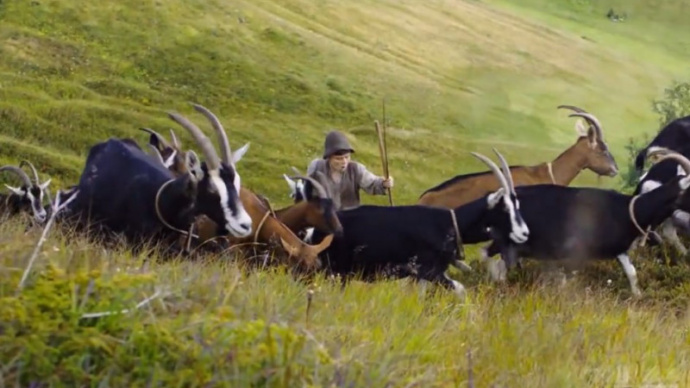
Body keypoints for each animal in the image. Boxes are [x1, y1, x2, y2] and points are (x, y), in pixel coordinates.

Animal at [302, 149, 528, 298]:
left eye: (517, 204)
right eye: (504, 208)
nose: (524, 233)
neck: (448, 223)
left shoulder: (424, 276)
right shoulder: (428, 271)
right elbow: (461, 290)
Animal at [484, 147, 690, 296]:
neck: (630, 209)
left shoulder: (618, 249)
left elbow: (632, 273)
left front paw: (637, 297)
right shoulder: (575, 252)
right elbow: (566, 279)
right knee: (491, 257)